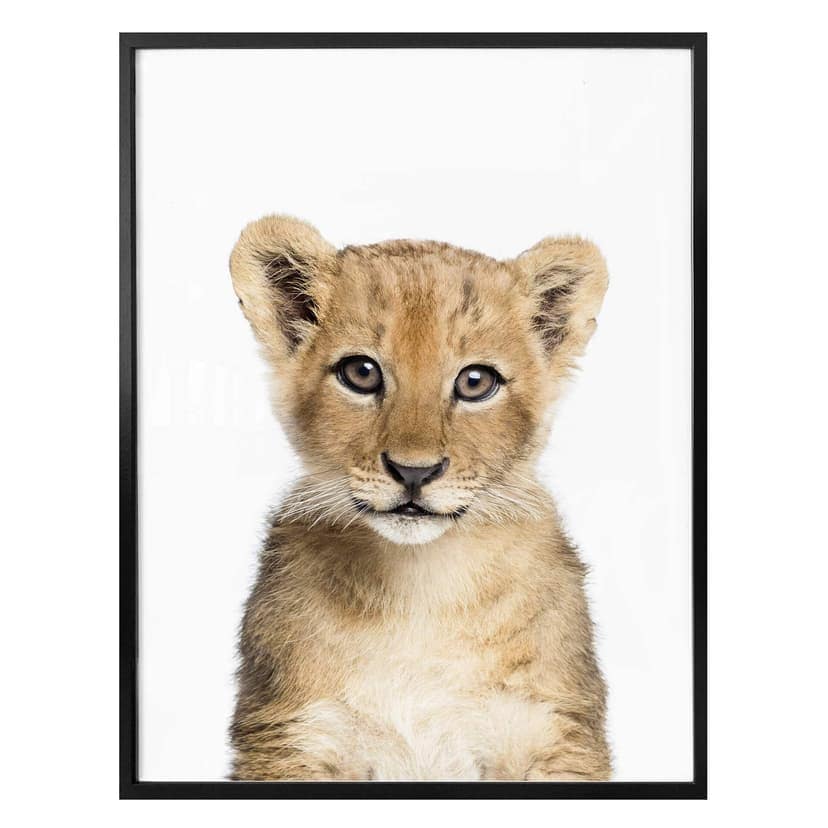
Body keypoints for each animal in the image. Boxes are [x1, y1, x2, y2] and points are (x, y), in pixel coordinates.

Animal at [227, 215, 611, 781]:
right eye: (361, 373)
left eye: (475, 382)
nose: (414, 471)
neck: (421, 588)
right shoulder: (292, 735)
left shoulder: (553, 732)